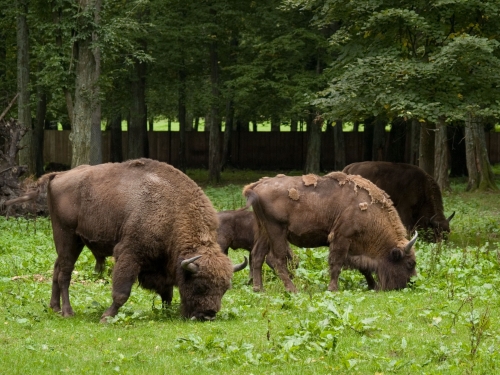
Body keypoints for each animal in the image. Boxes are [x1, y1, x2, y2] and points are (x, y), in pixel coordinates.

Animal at [3, 159, 246, 324]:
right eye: (200, 285)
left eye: (225, 289)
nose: (208, 315)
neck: (174, 211)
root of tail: (58, 175)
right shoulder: (130, 254)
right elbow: (122, 292)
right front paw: (106, 317)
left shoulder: (161, 263)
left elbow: (166, 291)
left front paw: (167, 310)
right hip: (66, 236)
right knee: (65, 273)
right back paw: (68, 312)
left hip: (72, 241)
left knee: (56, 268)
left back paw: (54, 308)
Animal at [242, 173, 418, 294]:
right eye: (410, 263)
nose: (411, 283)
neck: (369, 210)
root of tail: (256, 185)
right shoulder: (342, 238)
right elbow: (336, 264)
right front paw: (333, 288)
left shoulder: (353, 247)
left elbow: (363, 267)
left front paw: (373, 285)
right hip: (276, 230)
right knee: (277, 259)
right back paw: (293, 289)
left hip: (264, 230)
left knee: (257, 256)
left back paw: (259, 289)